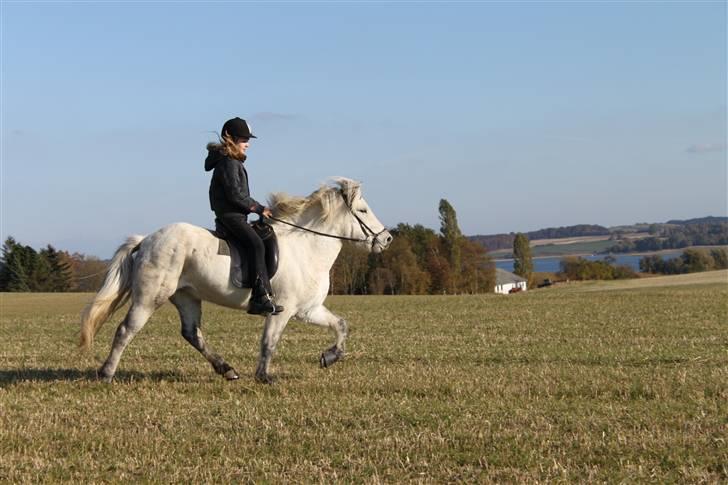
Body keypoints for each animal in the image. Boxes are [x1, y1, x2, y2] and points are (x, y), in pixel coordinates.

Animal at [79, 177, 392, 382]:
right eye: (363, 211)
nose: (387, 239)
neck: (307, 248)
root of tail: (146, 240)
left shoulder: (308, 310)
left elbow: (341, 325)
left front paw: (329, 357)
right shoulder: (283, 310)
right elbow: (269, 342)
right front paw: (264, 376)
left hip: (186, 296)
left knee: (192, 333)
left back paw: (227, 370)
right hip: (149, 297)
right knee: (126, 330)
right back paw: (106, 373)